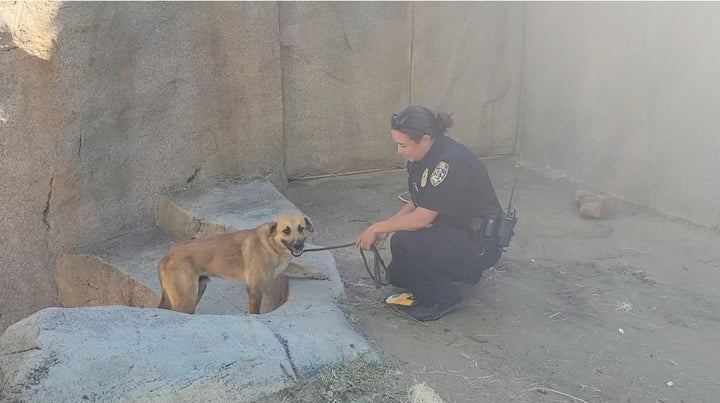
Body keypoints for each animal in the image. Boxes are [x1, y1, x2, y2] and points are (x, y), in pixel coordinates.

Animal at [159, 215, 328, 316]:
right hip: (186, 300)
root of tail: (165, 257)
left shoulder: (284, 265)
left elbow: (301, 266)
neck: (271, 244)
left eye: (301, 228)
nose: (298, 245)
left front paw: (318, 273)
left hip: (197, 291)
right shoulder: (255, 288)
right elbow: (255, 311)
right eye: (286, 231)